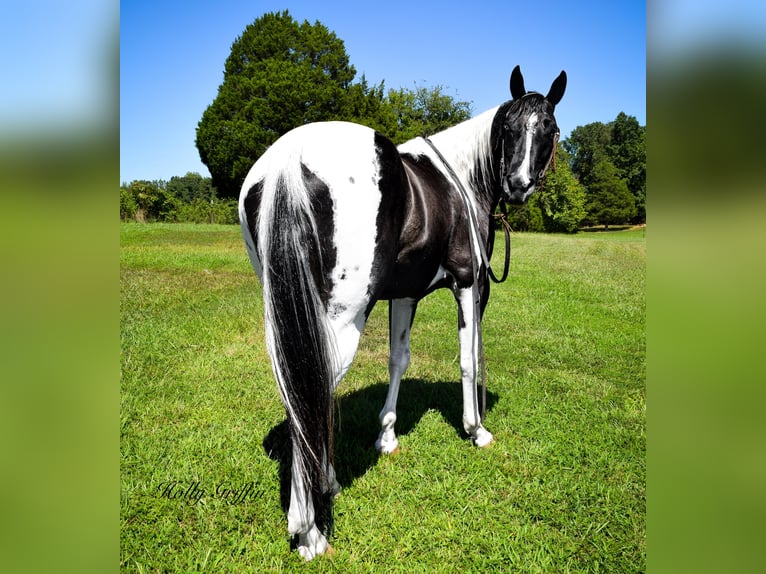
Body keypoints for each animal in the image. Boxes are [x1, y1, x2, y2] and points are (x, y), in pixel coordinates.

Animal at [237, 65, 568, 560]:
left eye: (547, 127)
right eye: (509, 127)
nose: (518, 184)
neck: (463, 180)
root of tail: (289, 159)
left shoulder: (405, 296)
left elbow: (398, 360)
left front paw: (387, 437)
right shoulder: (470, 284)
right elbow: (469, 361)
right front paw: (476, 430)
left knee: (304, 396)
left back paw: (325, 483)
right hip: (339, 321)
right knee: (309, 395)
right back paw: (309, 531)